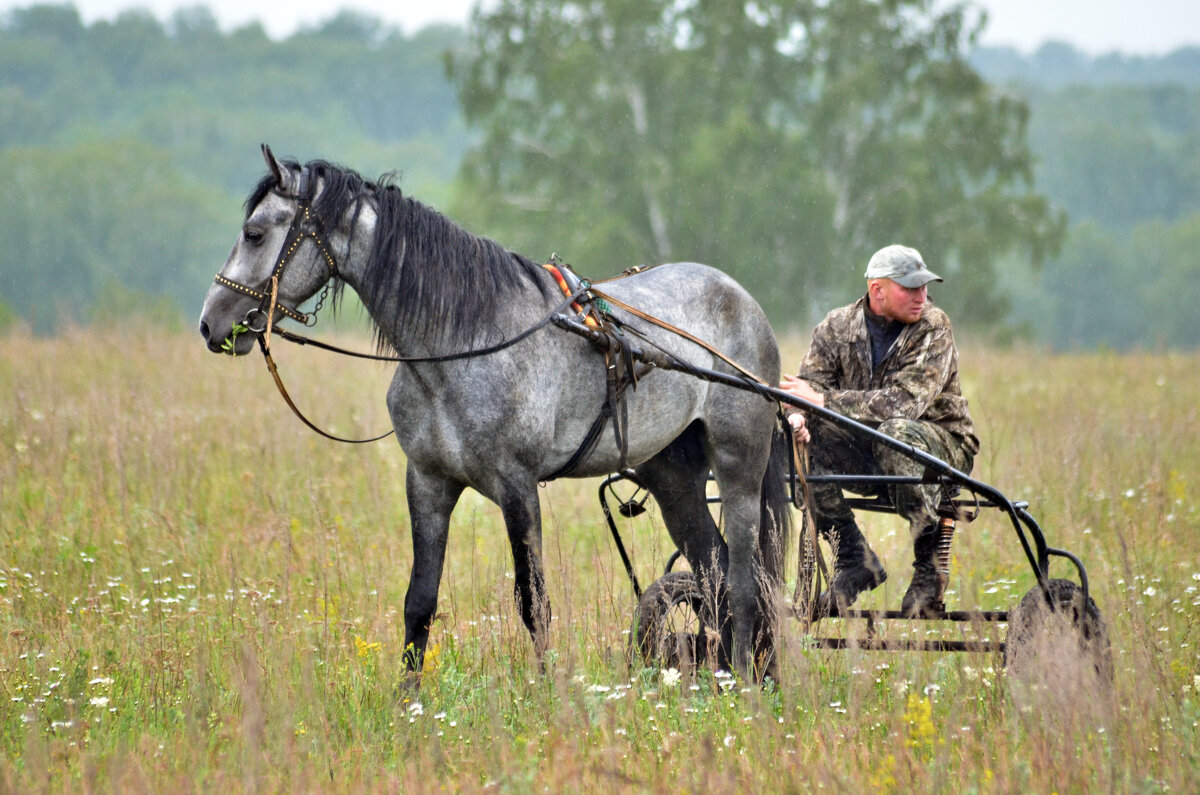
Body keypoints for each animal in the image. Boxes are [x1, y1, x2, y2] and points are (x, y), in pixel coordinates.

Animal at [200, 147, 792, 677]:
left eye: (254, 233)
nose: (211, 324)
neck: (460, 347)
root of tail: (742, 300)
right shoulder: (428, 482)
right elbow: (420, 603)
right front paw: (407, 706)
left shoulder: (516, 486)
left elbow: (534, 603)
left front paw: (551, 696)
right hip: (673, 478)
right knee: (715, 575)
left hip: (739, 465)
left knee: (744, 580)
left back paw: (744, 682)